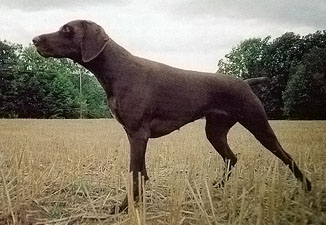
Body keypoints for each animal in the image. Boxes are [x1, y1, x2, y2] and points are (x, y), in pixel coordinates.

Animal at [32, 20, 310, 212]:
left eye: (67, 29)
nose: (34, 39)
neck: (118, 71)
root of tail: (245, 82)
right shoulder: (136, 136)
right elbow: (141, 173)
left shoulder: (137, 134)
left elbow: (134, 173)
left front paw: (123, 208)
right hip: (215, 131)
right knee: (232, 158)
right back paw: (218, 187)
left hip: (258, 125)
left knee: (286, 157)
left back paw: (306, 188)